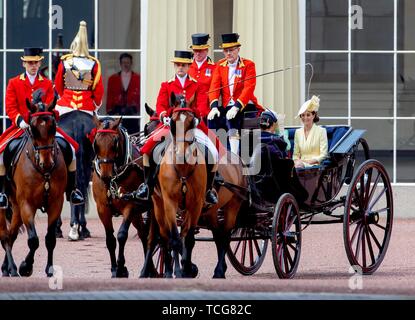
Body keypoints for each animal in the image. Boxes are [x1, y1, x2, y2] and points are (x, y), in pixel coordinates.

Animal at [1, 95, 66, 278]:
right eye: (33, 128)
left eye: (53, 126)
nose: (47, 163)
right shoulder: (27, 204)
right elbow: (33, 240)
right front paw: (26, 266)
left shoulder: (55, 204)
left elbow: (50, 239)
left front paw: (49, 268)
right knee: (4, 236)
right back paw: (13, 268)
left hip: (15, 208)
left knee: (11, 235)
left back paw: (8, 268)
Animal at [92, 115, 156, 278]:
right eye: (96, 143)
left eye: (114, 143)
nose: (106, 176)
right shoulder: (102, 209)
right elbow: (110, 239)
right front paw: (115, 269)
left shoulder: (130, 206)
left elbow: (121, 235)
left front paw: (121, 266)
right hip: (139, 214)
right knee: (144, 234)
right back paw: (150, 269)